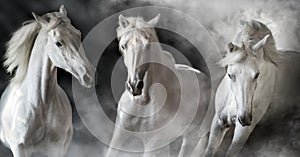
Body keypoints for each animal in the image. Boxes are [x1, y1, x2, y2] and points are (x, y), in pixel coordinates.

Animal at [0, 5, 95, 157]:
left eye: (78, 34)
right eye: (58, 43)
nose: (90, 76)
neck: (39, 105)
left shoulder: (56, 148)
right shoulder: (19, 148)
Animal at [105, 15, 211, 157]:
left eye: (148, 45)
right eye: (123, 46)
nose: (134, 86)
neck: (142, 103)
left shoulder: (153, 143)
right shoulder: (120, 133)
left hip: (190, 137)